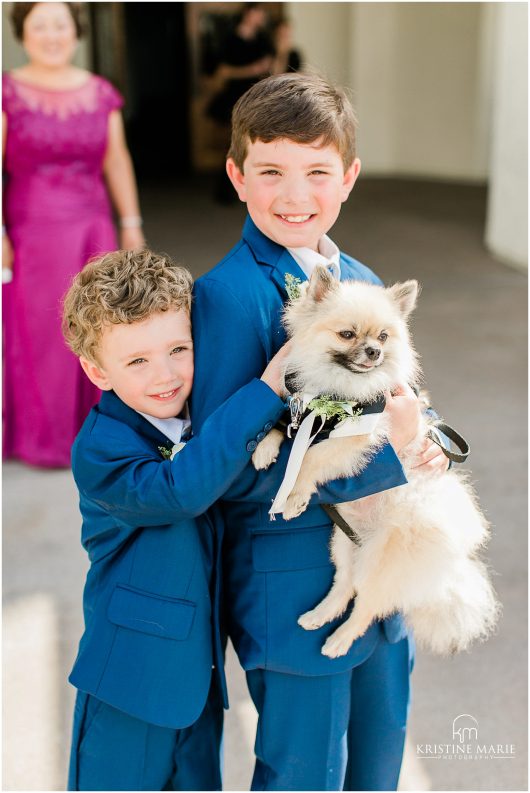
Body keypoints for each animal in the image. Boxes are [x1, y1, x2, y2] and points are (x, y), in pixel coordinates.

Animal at [254, 266, 498, 656]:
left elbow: (313, 456)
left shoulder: (358, 433)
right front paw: (264, 449)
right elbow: (283, 427)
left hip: (384, 560)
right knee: (345, 584)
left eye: (384, 336)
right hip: (344, 543)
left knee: (367, 605)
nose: (374, 350)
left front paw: (294, 496)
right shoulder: (303, 408)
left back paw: (339, 640)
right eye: (347, 334)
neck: (337, 389)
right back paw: (320, 615)